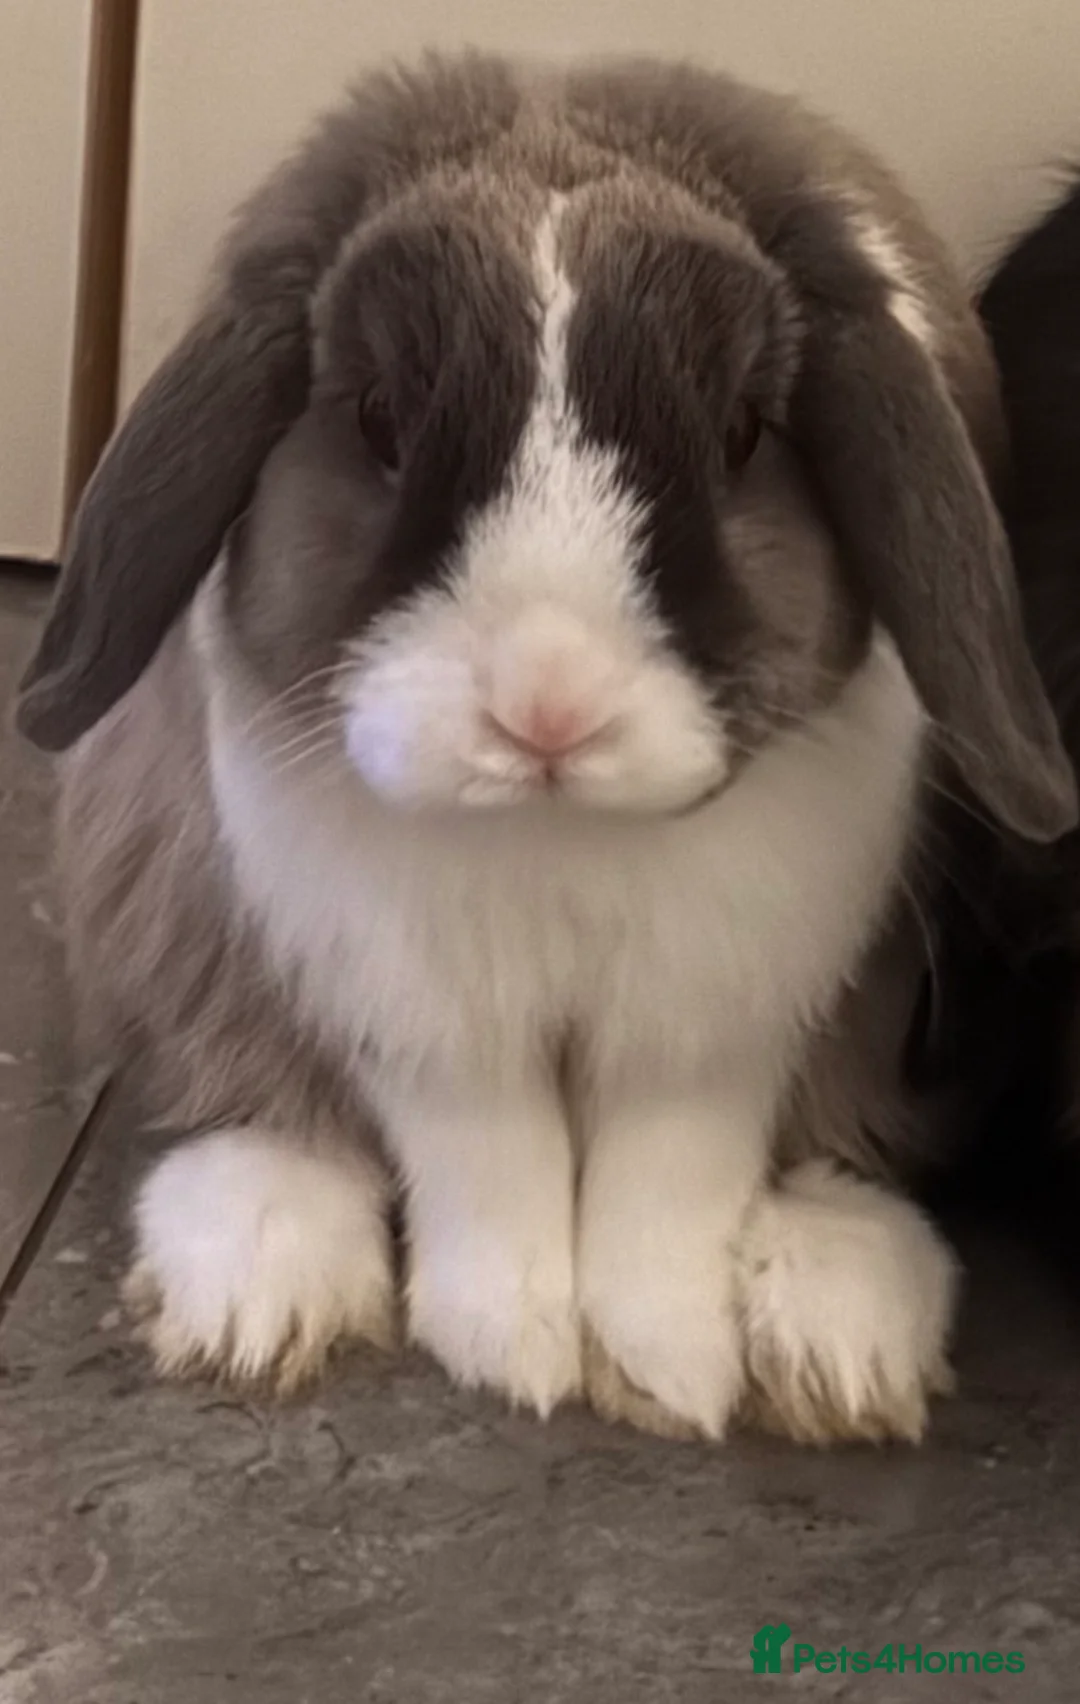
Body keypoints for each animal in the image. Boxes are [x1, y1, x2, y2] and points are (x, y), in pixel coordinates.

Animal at [17, 52, 1076, 1444]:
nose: (547, 708)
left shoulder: (720, 1013)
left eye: (742, 434)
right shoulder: (418, 1008)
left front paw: (662, 1368)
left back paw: (836, 1332)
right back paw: (258, 1285)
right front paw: (507, 1343)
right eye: (378, 420)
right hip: (163, 896)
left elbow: (670, 1176)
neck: (555, 835)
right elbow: (488, 1159)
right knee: (249, 1084)